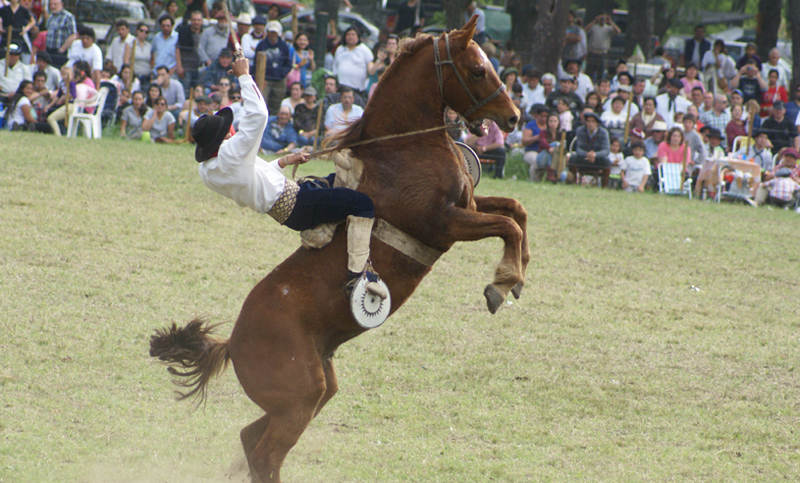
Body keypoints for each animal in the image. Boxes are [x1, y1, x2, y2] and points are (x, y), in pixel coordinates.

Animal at [150, 16, 529, 483]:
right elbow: (508, 225)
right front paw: (502, 283)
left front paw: (517, 277)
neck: (402, 148)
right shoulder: (444, 224)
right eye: (477, 70)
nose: (512, 117)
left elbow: (515, 211)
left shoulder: (469, 207)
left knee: (250, 437)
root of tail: (232, 342)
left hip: (315, 391)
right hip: (301, 397)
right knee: (266, 454)